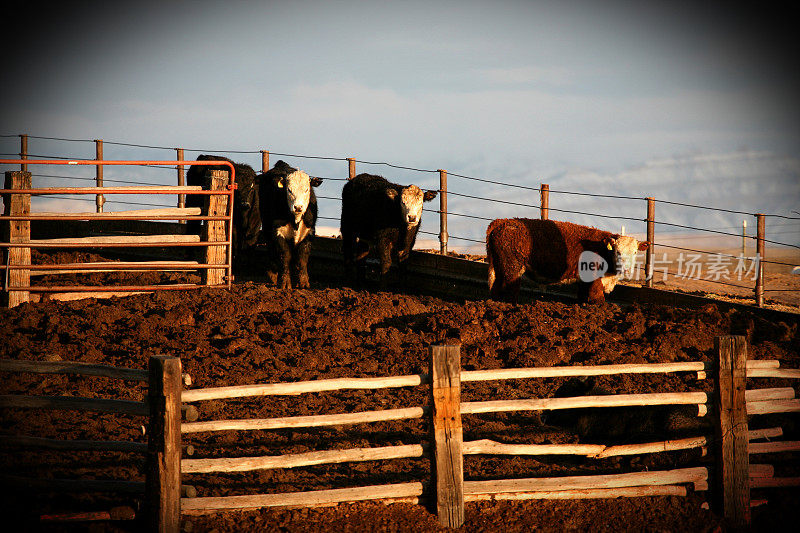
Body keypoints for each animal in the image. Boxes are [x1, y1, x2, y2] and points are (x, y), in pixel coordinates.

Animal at [256, 160, 318, 288]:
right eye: (289, 190)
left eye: (306, 190)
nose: (298, 207)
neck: (296, 220)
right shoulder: (278, 232)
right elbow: (285, 256)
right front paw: (284, 282)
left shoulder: (309, 232)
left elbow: (302, 257)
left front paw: (303, 282)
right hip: (267, 227)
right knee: (271, 248)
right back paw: (273, 274)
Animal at [484, 218, 648, 304]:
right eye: (617, 251)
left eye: (635, 252)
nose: (627, 270)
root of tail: (502, 222)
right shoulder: (594, 279)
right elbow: (598, 298)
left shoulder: (584, 280)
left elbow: (582, 296)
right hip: (512, 269)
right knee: (510, 290)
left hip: (499, 267)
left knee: (496, 289)